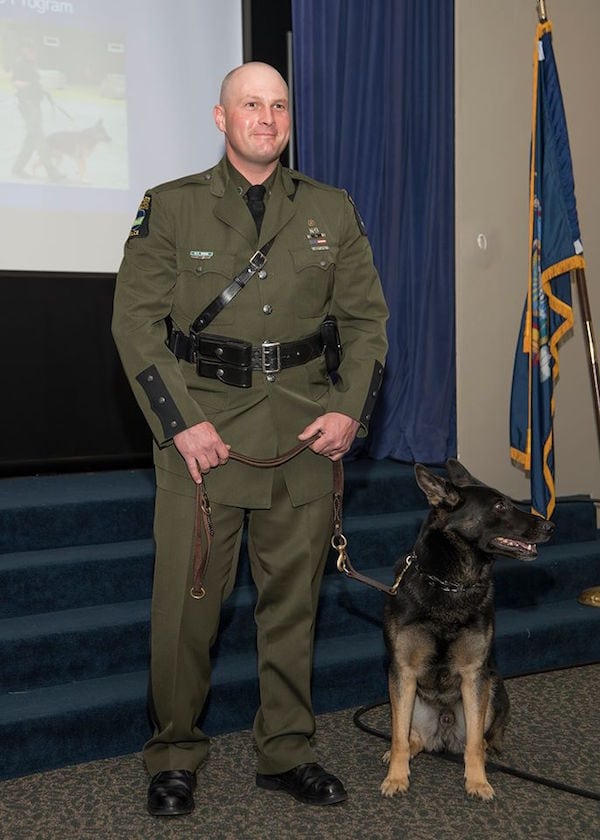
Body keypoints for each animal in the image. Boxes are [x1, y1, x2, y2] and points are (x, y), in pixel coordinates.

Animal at [382, 460, 556, 800]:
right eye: (500, 506)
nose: (551, 526)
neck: (450, 586)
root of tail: (444, 729)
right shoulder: (403, 673)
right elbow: (398, 736)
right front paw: (396, 777)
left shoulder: (475, 674)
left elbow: (474, 743)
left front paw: (478, 781)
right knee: (410, 736)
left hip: (493, 688)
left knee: (480, 740)